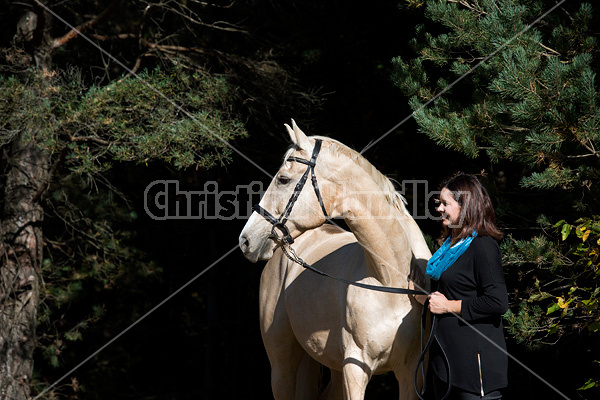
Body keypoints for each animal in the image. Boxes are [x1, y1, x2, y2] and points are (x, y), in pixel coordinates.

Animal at [239, 120, 432, 398]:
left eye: (283, 179)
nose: (246, 239)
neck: (391, 277)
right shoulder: (355, 370)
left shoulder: (410, 375)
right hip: (282, 368)